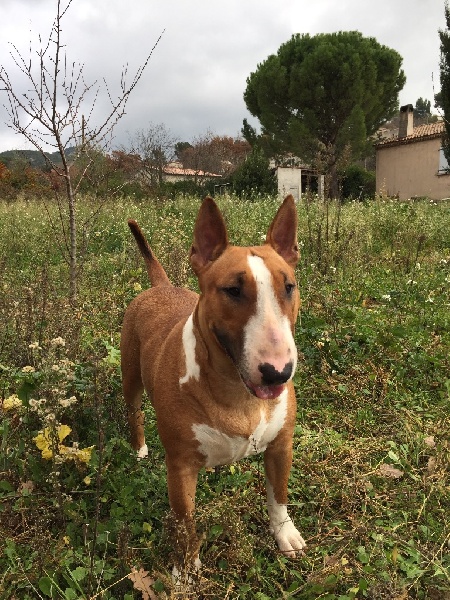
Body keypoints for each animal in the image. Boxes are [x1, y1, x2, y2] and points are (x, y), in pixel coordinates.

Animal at [120, 196, 306, 572]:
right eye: (232, 290)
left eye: (288, 287)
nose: (278, 373)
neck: (237, 391)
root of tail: (160, 287)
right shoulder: (179, 468)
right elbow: (185, 523)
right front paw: (185, 569)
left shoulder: (282, 445)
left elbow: (278, 495)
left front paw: (285, 534)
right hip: (130, 375)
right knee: (134, 412)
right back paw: (140, 450)